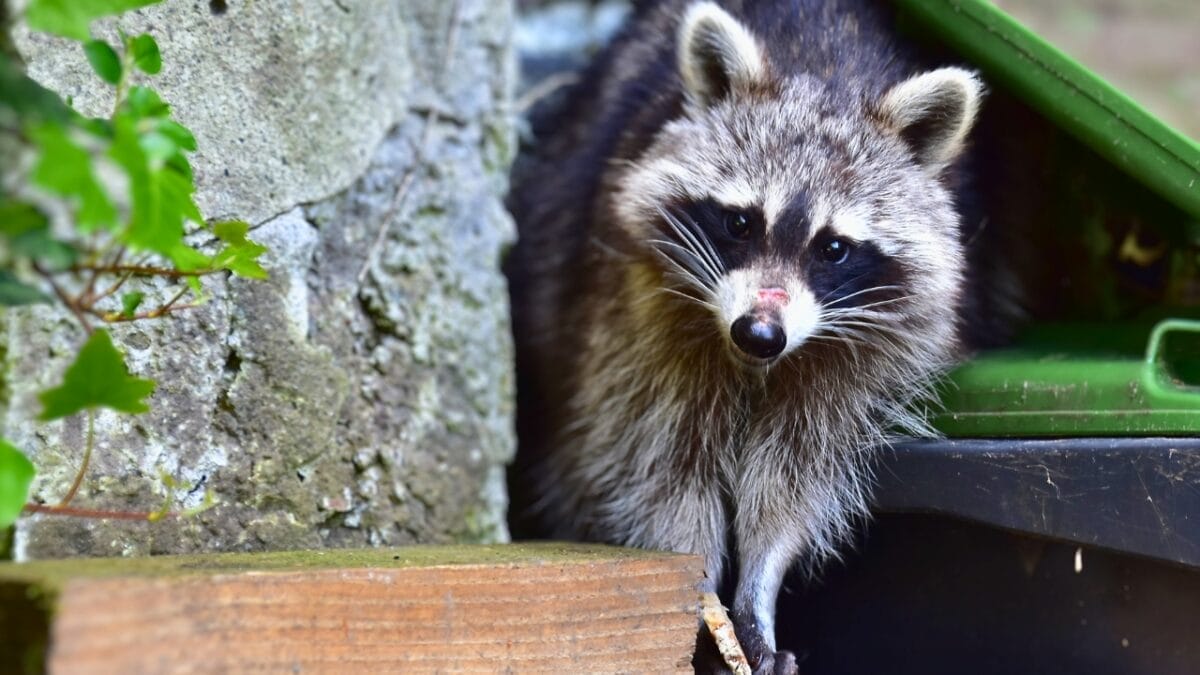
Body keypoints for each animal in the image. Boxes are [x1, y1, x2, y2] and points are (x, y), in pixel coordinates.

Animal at [507, 1, 989, 671]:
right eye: (739, 222)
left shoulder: (862, 357)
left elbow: (793, 478)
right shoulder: (637, 313)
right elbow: (661, 468)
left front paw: (760, 588)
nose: (759, 332)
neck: (827, 73)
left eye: (833, 248)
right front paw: (702, 590)